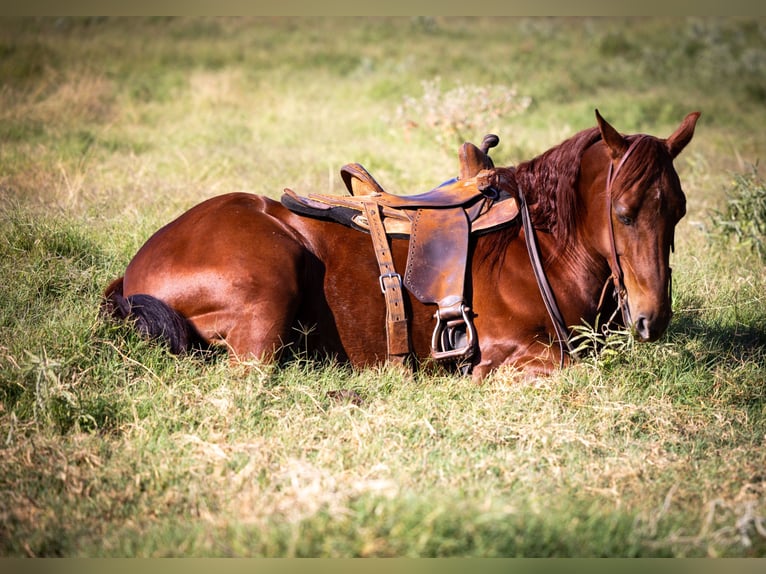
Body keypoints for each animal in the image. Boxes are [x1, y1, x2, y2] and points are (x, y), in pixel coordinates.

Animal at [102, 111, 704, 382]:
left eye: (678, 210)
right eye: (623, 213)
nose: (653, 320)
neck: (542, 250)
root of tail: (133, 272)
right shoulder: (509, 356)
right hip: (269, 288)